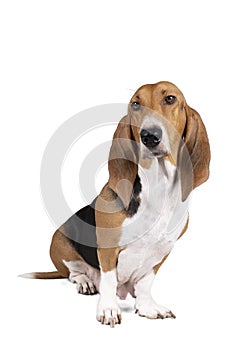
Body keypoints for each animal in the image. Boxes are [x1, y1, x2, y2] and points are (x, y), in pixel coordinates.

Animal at [22, 80, 211, 326]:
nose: (149, 136)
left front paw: (147, 306)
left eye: (170, 98)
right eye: (135, 104)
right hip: (59, 241)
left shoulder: (162, 252)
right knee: (74, 273)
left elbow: (145, 282)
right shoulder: (108, 249)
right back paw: (85, 282)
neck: (158, 189)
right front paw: (109, 309)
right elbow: (109, 280)